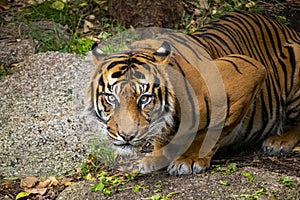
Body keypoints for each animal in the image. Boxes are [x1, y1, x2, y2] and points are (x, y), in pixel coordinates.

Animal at [85, 10, 300, 175]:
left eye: (144, 99)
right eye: (111, 98)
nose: (126, 136)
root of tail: (288, 28)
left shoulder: (248, 70)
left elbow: (211, 130)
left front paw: (189, 159)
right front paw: (155, 157)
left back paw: (279, 142)